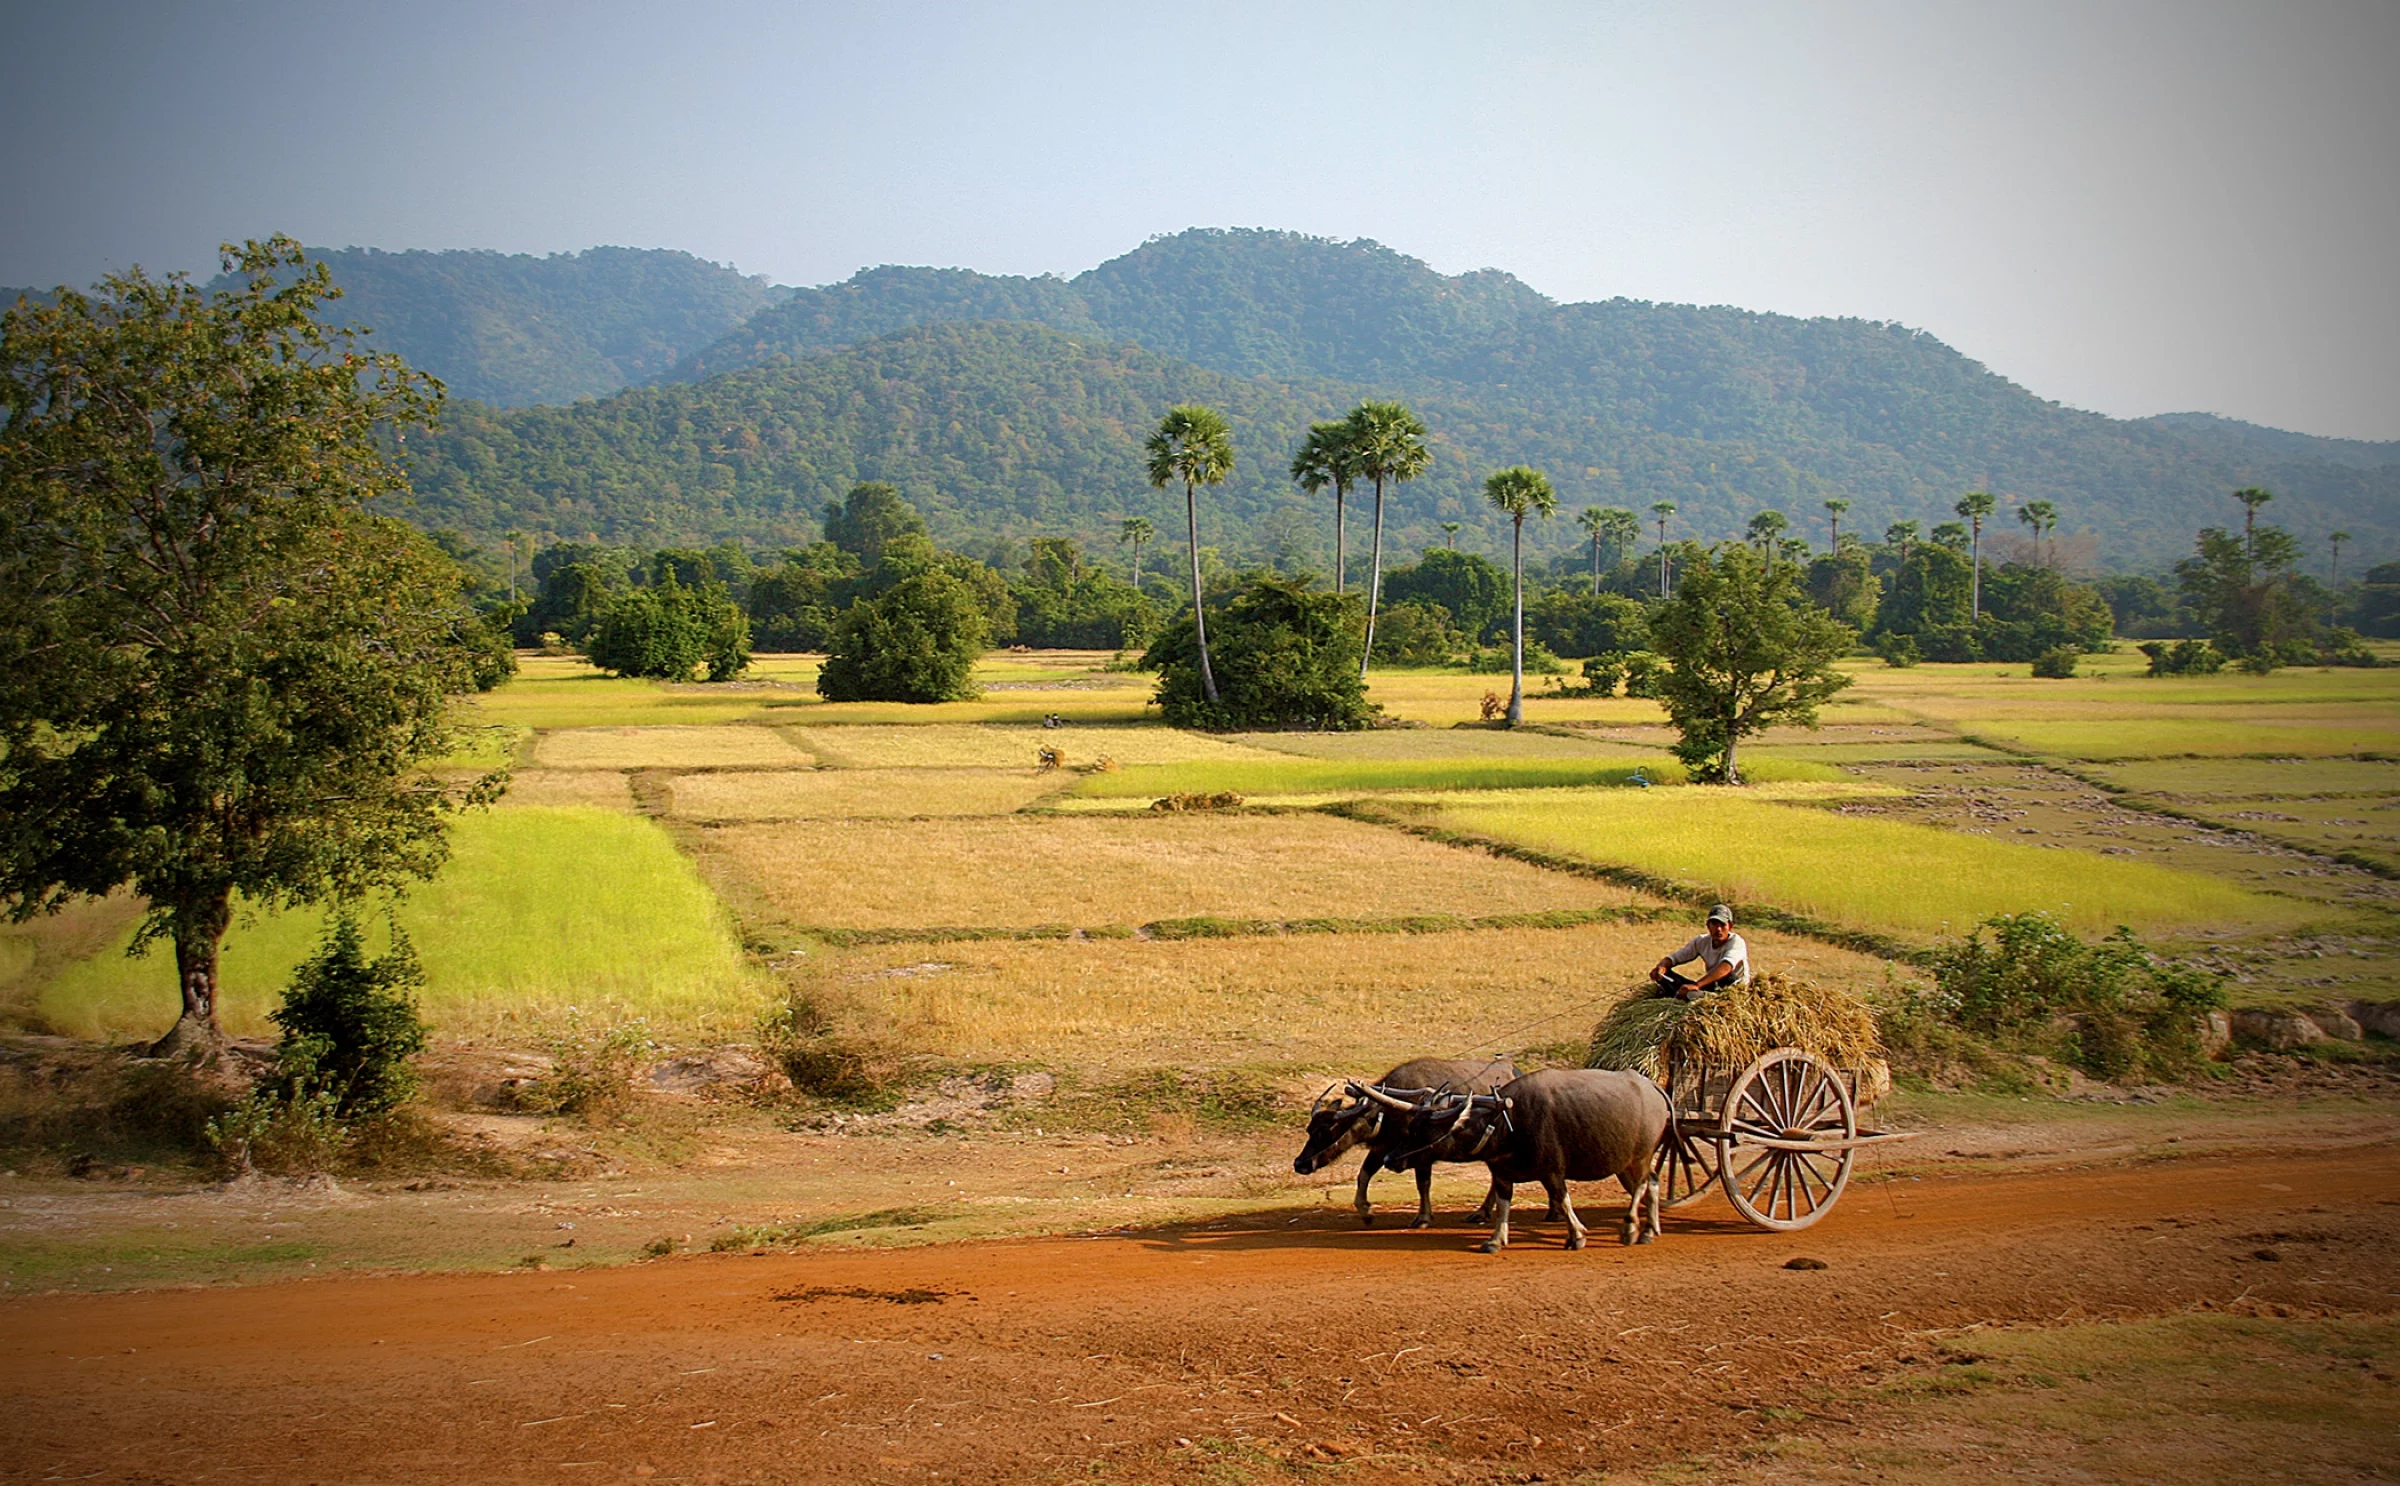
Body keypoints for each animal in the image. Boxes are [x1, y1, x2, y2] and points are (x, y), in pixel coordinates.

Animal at [1296, 1056, 1516, 1229]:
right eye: (1309, 1130)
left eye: (1325, 1132)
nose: (1299, 1164)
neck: (1387, 1112)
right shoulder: (1383, 1148)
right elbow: (1363, 1175)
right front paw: (1366, 1212)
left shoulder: (1421, 1153)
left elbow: (1423, 1183)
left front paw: (1423, 1218)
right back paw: (1481, 1212)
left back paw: (1482, 1212)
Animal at [1363, 1070, 1680, 1257]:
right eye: (1411, 1125)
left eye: (1423, 1130)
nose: (1389, 1158)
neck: (1504, 1123)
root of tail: (1654, 1087)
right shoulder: (1502, 1173)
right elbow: (1503, 1206)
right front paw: (1494, 1240)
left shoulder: (1553, 1171)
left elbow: (1562, 1199)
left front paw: (1577, 1235)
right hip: (1624, 1162)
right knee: (1651, 1183)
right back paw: (1649, 1230)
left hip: (1639, 1157)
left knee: (1641, 1185)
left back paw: (1630, 1228)